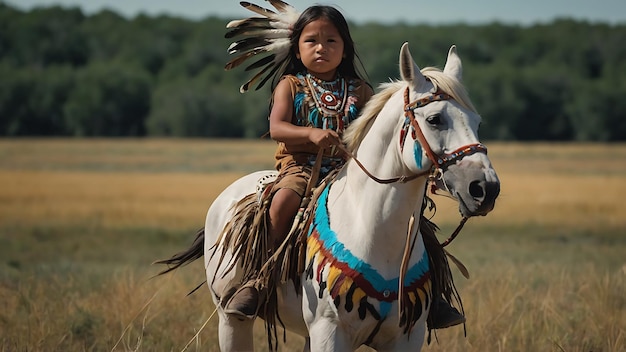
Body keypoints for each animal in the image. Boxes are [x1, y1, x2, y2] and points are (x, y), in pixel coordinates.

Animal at [160, 42, 498, 350]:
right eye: (434, 119)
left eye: (478, 122)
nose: (485, 188)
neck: (376, 231)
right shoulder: (330, 331)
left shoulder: (406, 336)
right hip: (230, 320)